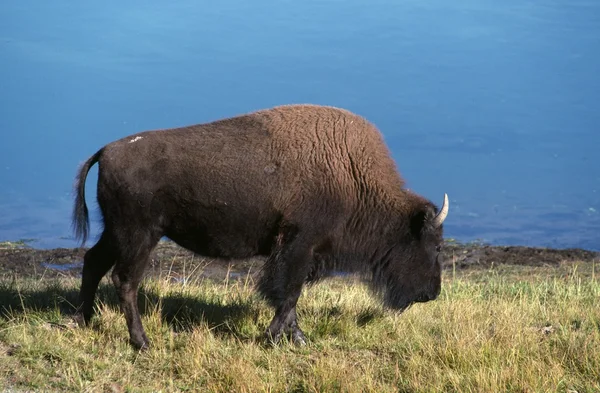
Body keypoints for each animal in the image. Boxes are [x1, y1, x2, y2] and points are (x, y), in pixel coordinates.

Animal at [72, 102, 448, 348]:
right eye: (435, 245)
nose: (431, 293)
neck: (351, 175)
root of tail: (106, 151)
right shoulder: (299, 245)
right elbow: (288, 292)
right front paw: (274, 337)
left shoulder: (301, 251)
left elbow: (291, 296)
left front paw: (297, 338)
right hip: (140, 236)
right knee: (125, 281)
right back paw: (142, 342)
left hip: (117, 232)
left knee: (93, 262)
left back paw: (82, 321)